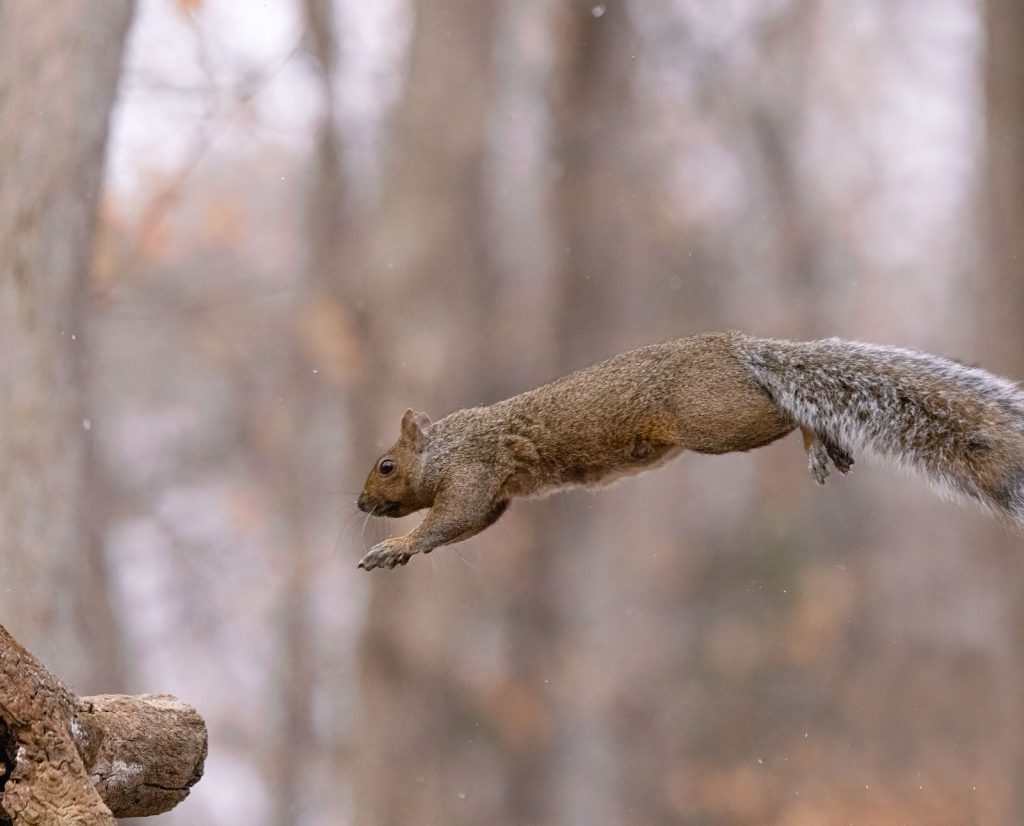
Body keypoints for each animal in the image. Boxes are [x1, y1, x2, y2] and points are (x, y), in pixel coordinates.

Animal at [356, 331, 1024, 570]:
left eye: (386, 465)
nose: (360, 504)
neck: (444, 446)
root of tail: (739, 347)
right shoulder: (497, 494)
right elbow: (470, 525)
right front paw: (401, 550)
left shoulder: (475, 469)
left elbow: (451, 517)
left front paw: (394, 546)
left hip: (716, 419)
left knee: (788, 409)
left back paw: (814, 437)